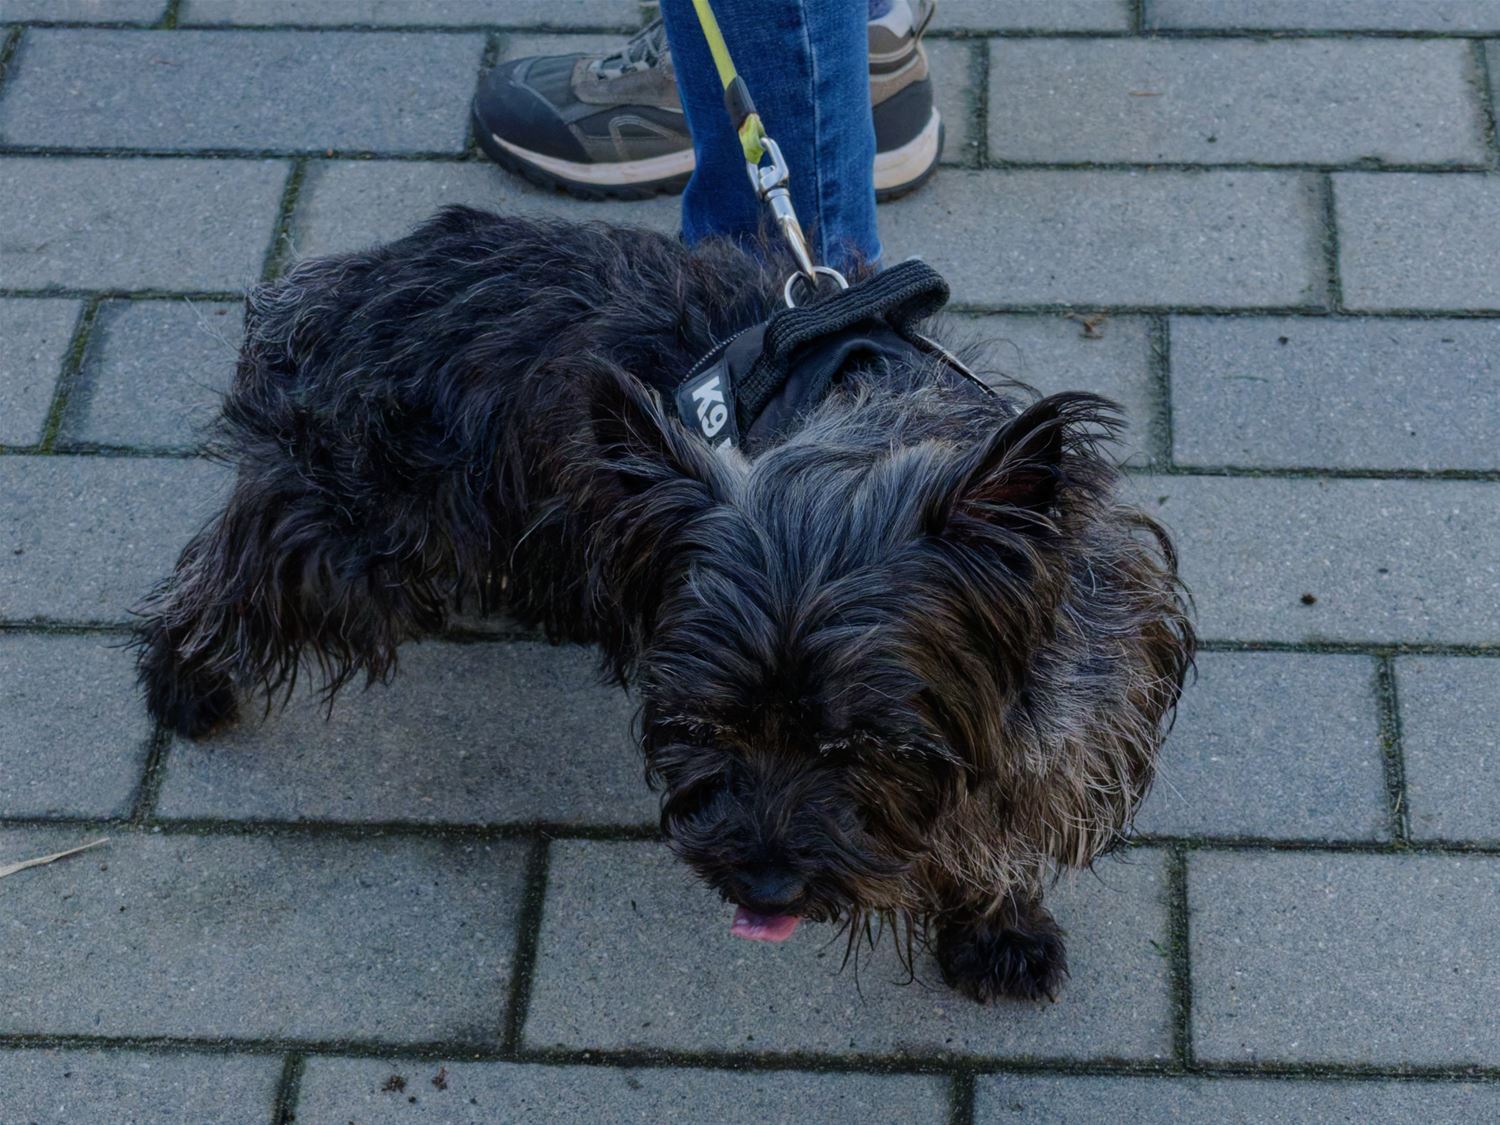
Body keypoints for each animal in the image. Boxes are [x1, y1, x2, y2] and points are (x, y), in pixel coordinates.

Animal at [135, 207, 1193, 1003]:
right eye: (705, 724)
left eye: (866, 744)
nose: (763, 882)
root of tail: (330, 285)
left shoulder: (1079, 699)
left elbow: (1012, 814)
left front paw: (997, 924)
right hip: (354, 539)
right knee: (238, 568)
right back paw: (183, 676)